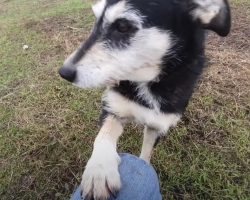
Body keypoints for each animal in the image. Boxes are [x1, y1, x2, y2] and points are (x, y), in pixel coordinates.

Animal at [58, 0, 230, 199]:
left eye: (123, 26)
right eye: (96, 19)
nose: (64, 72)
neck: (147, 82)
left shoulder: (158, 124)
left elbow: (146, 154)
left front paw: (142, 168)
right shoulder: (113, 108)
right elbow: (103, 135)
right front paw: (99, 171)